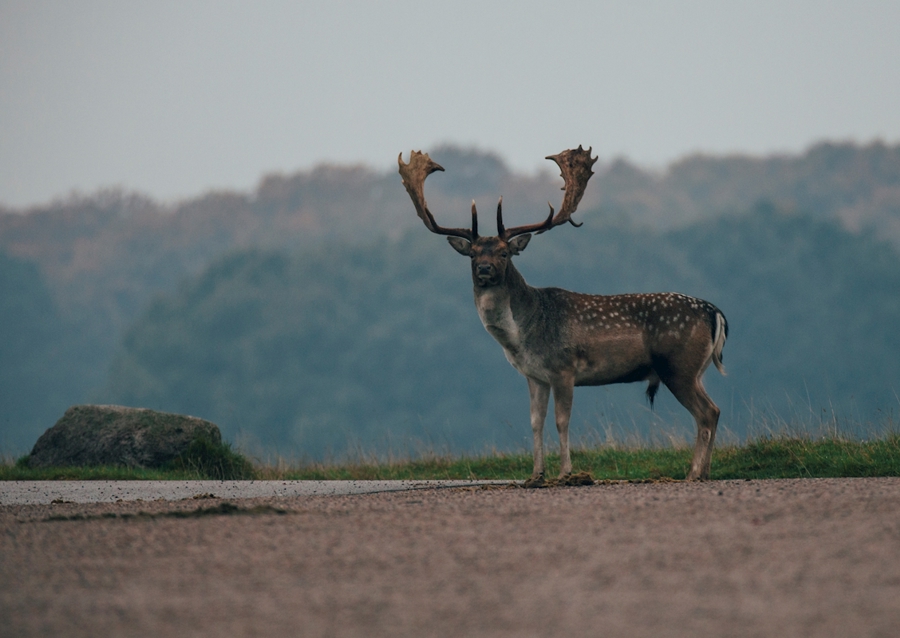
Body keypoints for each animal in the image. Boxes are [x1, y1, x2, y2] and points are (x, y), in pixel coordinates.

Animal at [398, 146, 728, 486]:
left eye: (504, 252)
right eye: (474, 254)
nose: (485, 269)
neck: (521, 336)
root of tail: (715, 313)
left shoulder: (564, 368)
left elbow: (561, 420)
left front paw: (566, 472)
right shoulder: (534, 376)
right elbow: (535, 421)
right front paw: (536, 474)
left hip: (678, 366)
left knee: (707, 412)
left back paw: (694, 473)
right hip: (694, 370)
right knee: (713, 411)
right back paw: (703, 471)